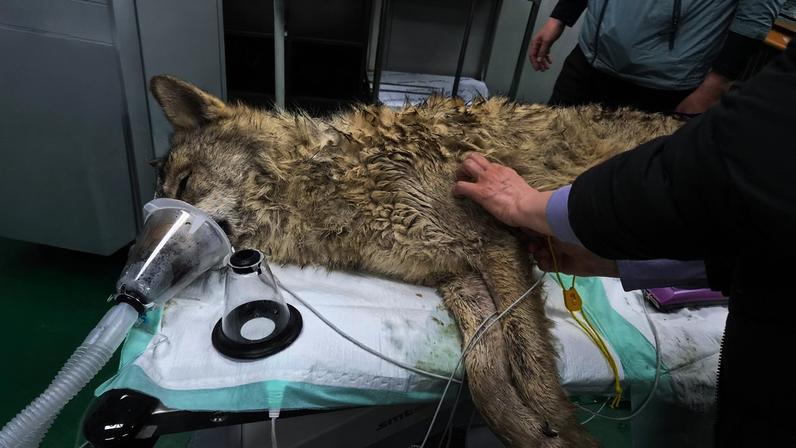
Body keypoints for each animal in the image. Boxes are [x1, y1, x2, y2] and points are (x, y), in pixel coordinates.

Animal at [150, 75, 681, 447]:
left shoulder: (494, 244)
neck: (325, 181)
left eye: (184, 185)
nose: (137, 264)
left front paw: (564, 432)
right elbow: (486, 374)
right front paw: (531, 432)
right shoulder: (457, 277)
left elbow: (529, 364)